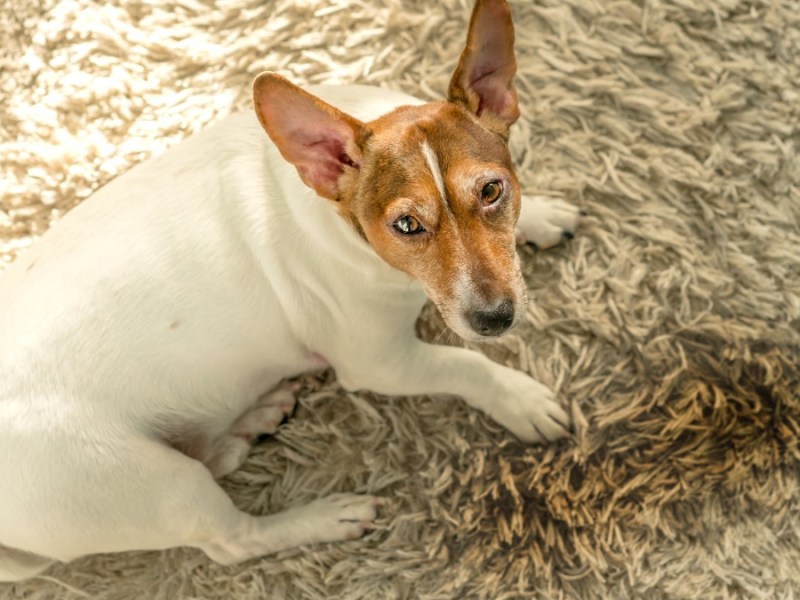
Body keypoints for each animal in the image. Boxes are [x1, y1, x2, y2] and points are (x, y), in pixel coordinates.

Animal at [0, 0, 580, 580]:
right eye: (407, 226)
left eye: (492, 191)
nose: (495, 318)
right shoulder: (380, 364)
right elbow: (467, 365)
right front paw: (520, 398)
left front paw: (540, 214)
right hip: (156, 485)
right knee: (234, 541)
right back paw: (324, 517)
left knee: (215, 462)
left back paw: (251, 421)